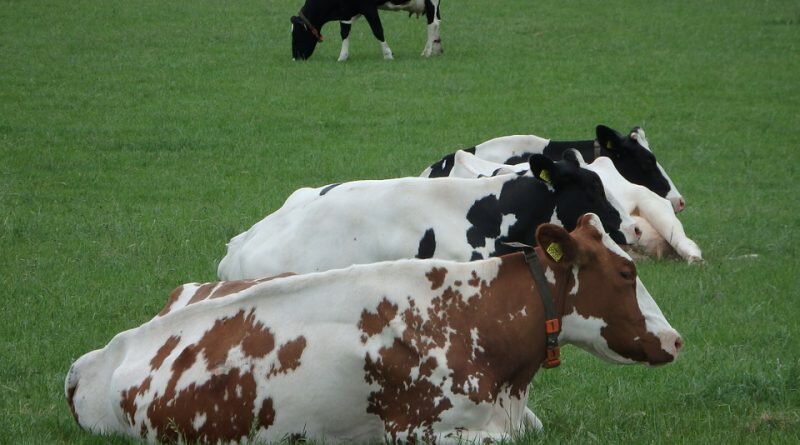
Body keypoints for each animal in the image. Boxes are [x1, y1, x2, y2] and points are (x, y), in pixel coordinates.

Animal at [290, 0, 440, 60]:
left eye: (296, 34)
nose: (295, 57)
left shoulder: (368, 7)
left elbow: (377, 30)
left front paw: (388, 55)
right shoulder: (346, 11)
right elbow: (344, 32)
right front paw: (342, 57)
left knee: (433, 24)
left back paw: (427, 53)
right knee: (435, 22)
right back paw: (436, 49)